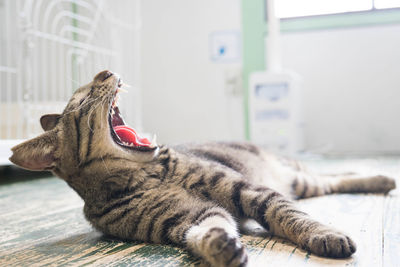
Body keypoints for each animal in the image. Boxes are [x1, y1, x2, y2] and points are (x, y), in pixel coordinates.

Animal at [10, 70, 396, 266]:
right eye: (82, 97)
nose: (105, 71)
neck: (147, 174)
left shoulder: (247, 189)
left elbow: (289, 215)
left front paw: (324, 234)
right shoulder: (181, 218)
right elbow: (206, 228)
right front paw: (218, 245)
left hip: (295, 178)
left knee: (332, 177)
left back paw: (382, 178)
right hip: (301, 183)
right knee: (331, 181)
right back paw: (381, 179)